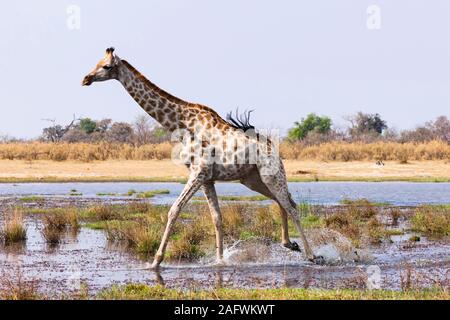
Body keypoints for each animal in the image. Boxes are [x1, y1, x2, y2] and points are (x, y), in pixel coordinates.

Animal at [82, 47, 322, 268]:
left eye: (106, 66)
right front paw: (220, 260)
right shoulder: (207, 178)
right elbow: (217, 218)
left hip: (272, 175)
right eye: (97, 62)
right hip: (252, 179)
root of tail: (274, 148)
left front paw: (156, 261)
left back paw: (312, 255)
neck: (180, 124)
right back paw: (289, 244)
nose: (86, 79)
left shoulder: (199, 172)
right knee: (282, 201)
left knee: (291, 206)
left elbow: (174, 210)